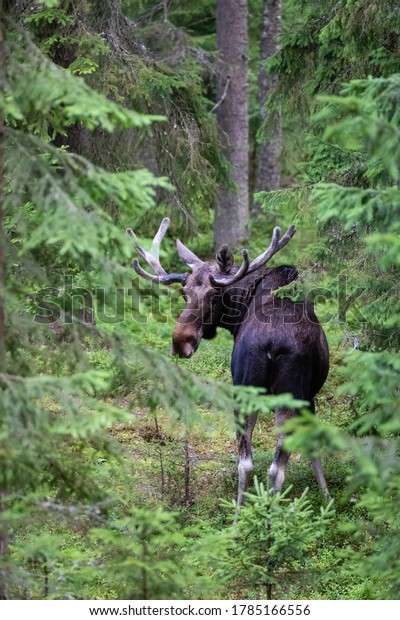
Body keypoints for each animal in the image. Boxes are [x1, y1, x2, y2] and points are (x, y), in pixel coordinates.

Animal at [126, 218, 330, 504]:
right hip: (287, 395)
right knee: (275, 468)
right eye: (184, 292)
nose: (181, 342)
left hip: (246, 390)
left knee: (245, 462)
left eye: (213, 294)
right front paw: (327, 497)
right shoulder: (309, 397)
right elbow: (314, 451)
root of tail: (271, 344)